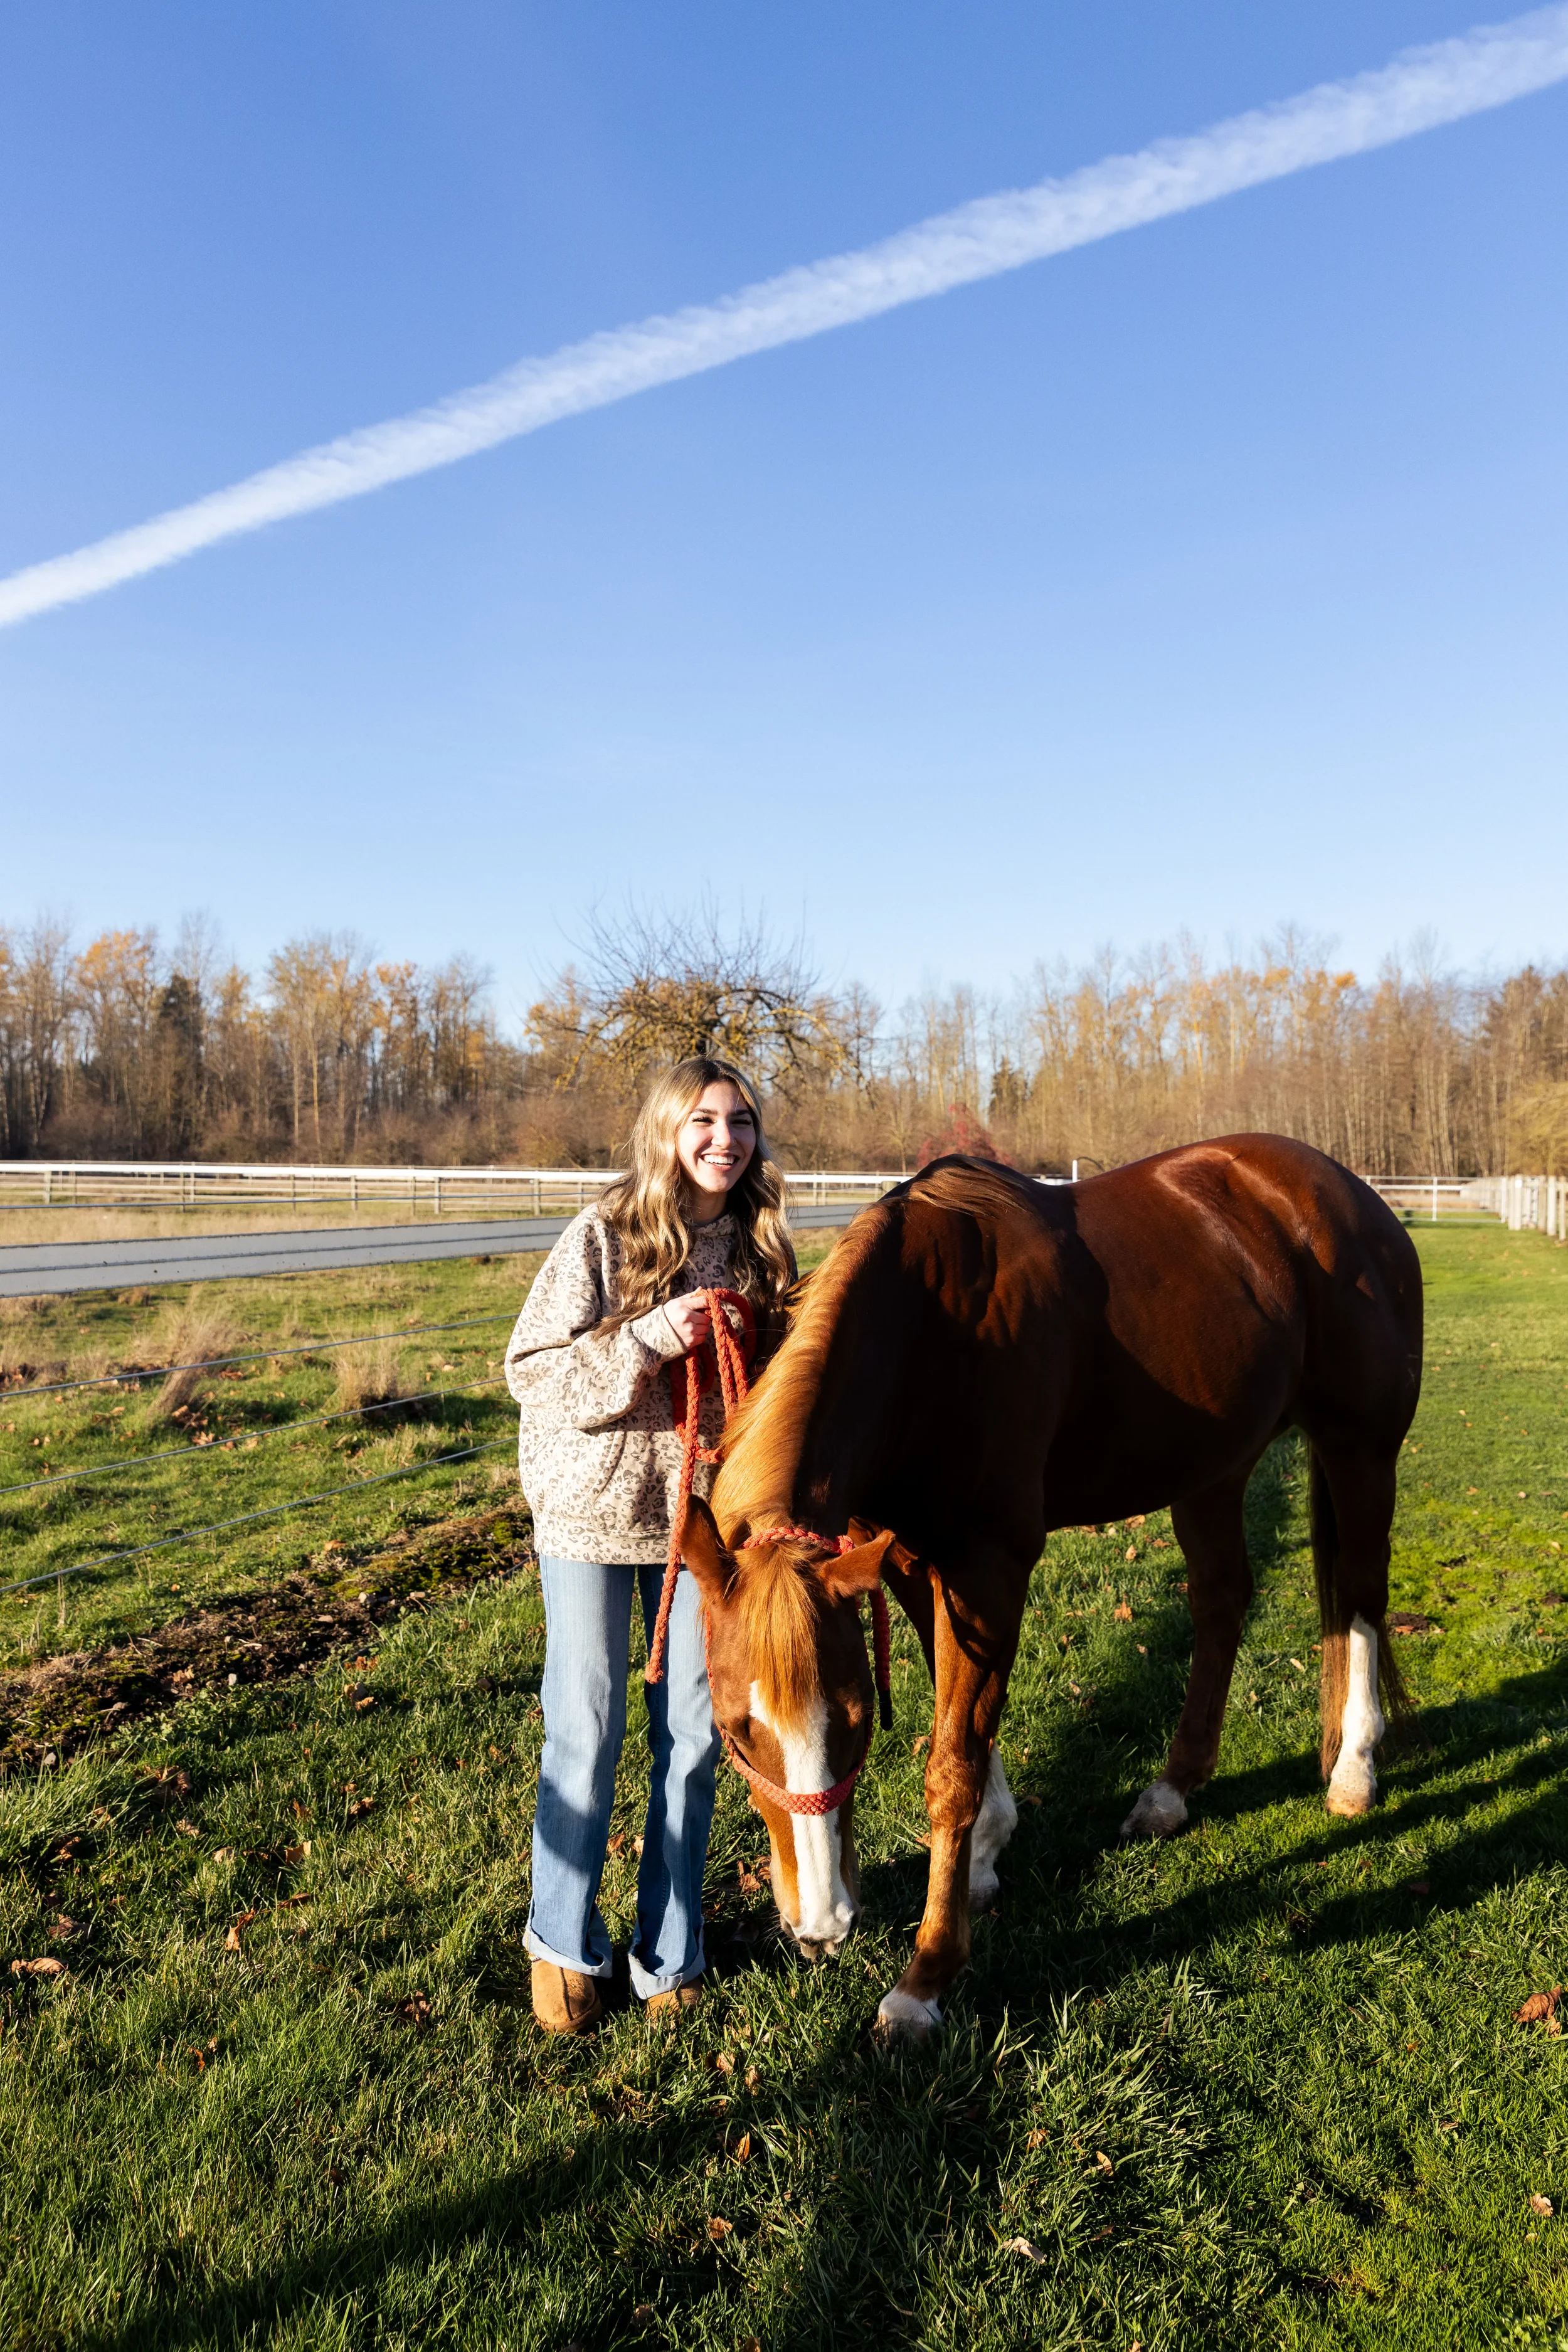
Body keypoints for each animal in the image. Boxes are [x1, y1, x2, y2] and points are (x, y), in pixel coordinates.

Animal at [677, 1135, 1423, 2040]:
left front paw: (926, 1977)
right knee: (1221, 1602)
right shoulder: (913, 1564)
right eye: (735, 1731)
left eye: (854, 1723)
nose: (821, 1925)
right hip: (1212, 1470)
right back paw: (1172, 1790)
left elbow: (953, 1762)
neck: (929, 1334)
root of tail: (1344, 1193)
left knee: (1360, 1597)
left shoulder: (990, 1566)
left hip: (1361, 1452)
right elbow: (962, 1713)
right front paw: (985, 1858)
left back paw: (1354, 1770)